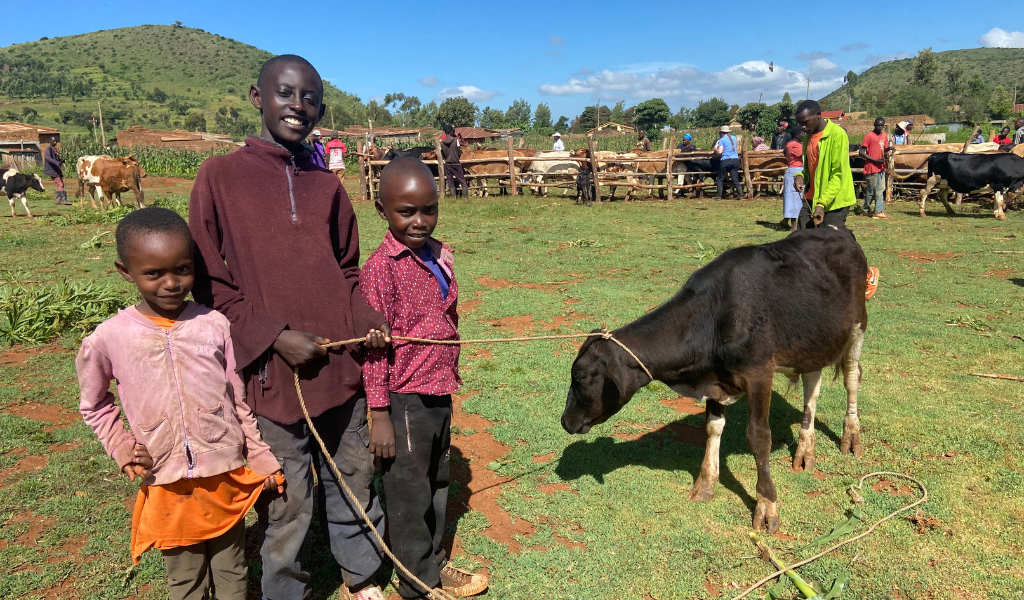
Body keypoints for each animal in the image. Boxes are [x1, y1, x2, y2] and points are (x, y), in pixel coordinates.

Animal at [565, 226, 868, 528]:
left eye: (580, 376)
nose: (565, 421)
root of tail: (837, 229)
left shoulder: (759, 373)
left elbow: (759, 437)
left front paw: (767, 506)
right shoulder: (714, 378)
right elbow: (712, 427)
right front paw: (706, 483)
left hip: (857, 326)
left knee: (852, 377)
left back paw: (851, 436)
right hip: (813, 341)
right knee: (812, 384)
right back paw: (805, 449)